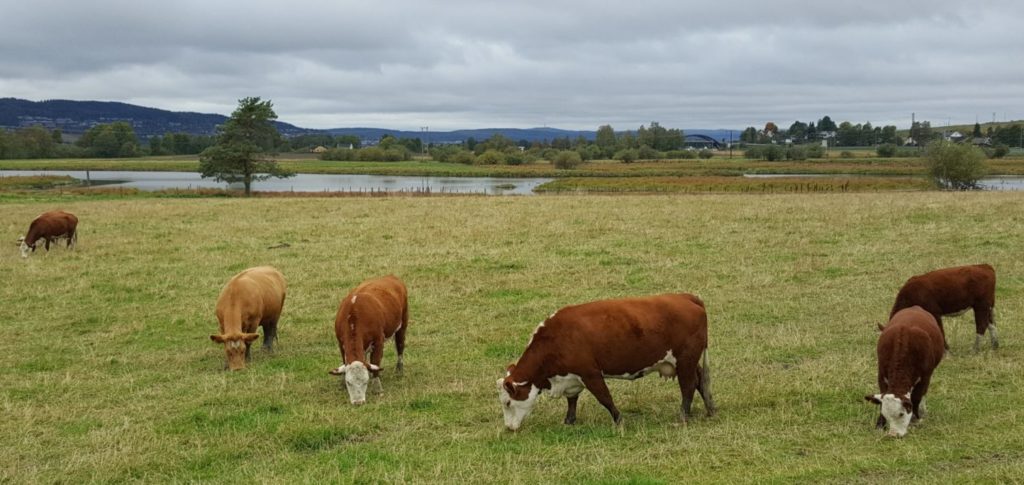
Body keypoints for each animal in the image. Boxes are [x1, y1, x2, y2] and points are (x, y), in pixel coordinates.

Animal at [327, 272, 407, 405]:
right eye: (349, 382)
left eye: (365, 381)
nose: (358, 402)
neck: (354, 316)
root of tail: (390, 276)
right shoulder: (341, 343)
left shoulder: (378, 341)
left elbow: (375, 361)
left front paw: (377, 387)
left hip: (403, 325)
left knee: (400, 347)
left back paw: (399, 369)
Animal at [495, 292, 712, 431]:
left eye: (507, 402)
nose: (509, 428)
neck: (557, 337)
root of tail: (687, 297)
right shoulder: (571, 377)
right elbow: (572, 399)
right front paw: (569, 420)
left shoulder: (590, 374)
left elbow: (605, 398)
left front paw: (619, 420)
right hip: (687, 361)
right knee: (700, 379)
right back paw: (710, 409)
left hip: (685, 360)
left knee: (688, 386)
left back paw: (683, 417)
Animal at [864, 306, 942, 439]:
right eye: (886, 414)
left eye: (901, 414)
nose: (893, 434)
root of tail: (915, 307)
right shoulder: (881, 375)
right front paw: (880, 424)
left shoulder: (925, 376)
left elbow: (916, 398)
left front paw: (915, 419)